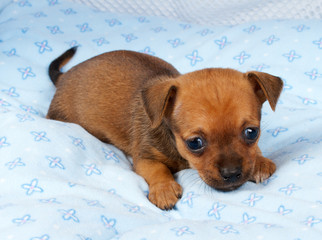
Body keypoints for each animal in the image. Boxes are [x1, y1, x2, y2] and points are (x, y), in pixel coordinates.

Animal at [46, 47, 284, 210]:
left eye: (251, 132)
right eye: (195, 143)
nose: (232, 173)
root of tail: (65, 76)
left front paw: (260, 161)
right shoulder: (144, 158)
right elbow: (157, 169)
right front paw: (164, 189)